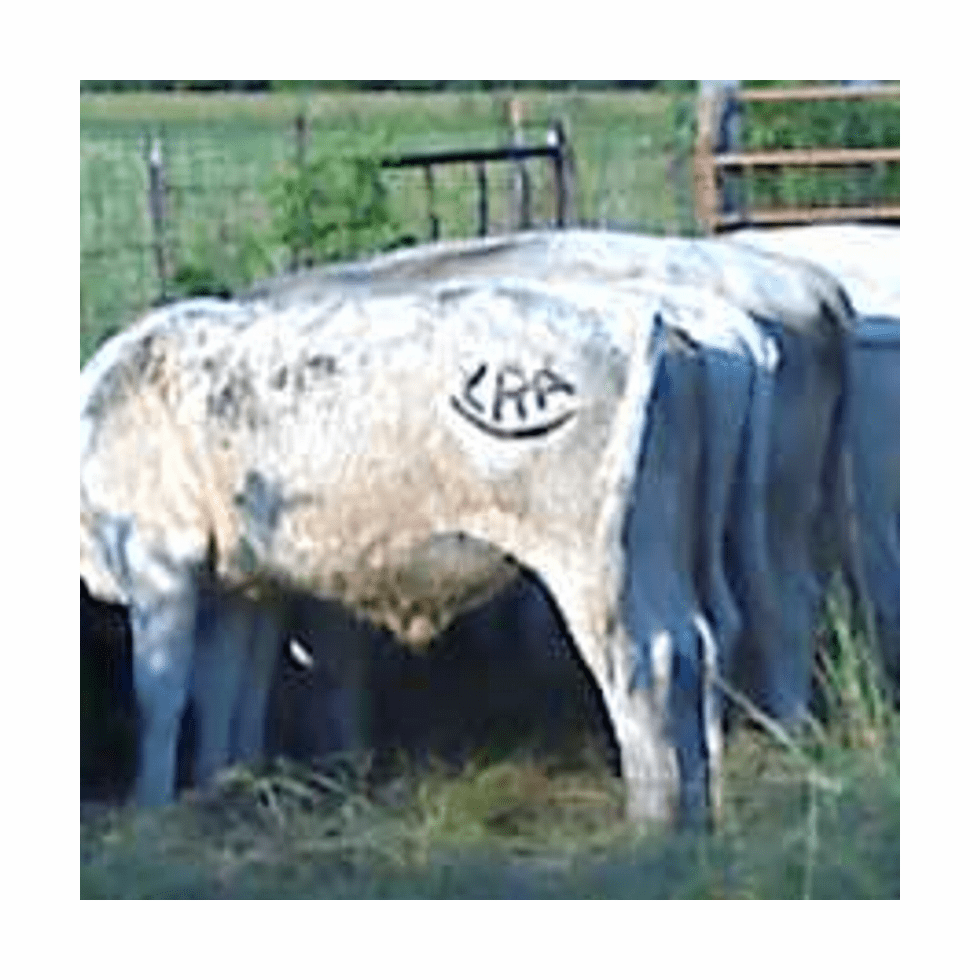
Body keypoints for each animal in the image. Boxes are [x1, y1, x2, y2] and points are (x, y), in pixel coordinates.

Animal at [80, 230, 854, 822]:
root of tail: (669, 325)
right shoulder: (244, 581)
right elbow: (224, 689)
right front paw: (224, 783)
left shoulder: (160, 562)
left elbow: (162, 692)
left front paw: (151, 808)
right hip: (678, 542)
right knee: (714, 634)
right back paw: (703, 797)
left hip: (603, 562)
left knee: (650, 659)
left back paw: (653, 816)